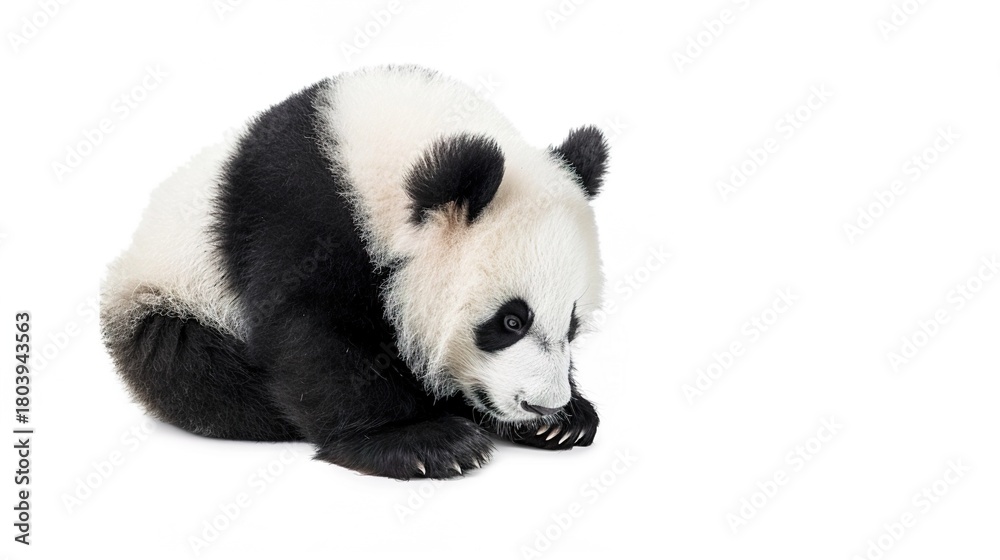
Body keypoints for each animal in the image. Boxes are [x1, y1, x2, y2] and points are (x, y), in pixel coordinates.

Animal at [100, 65, 609, 480]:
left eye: (572, 324)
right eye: (510, 321)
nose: (542, 403)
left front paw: (563, 423)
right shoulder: (296, 218)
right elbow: (314, 337)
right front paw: (425, 441)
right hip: (169, 297)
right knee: (198, 368)